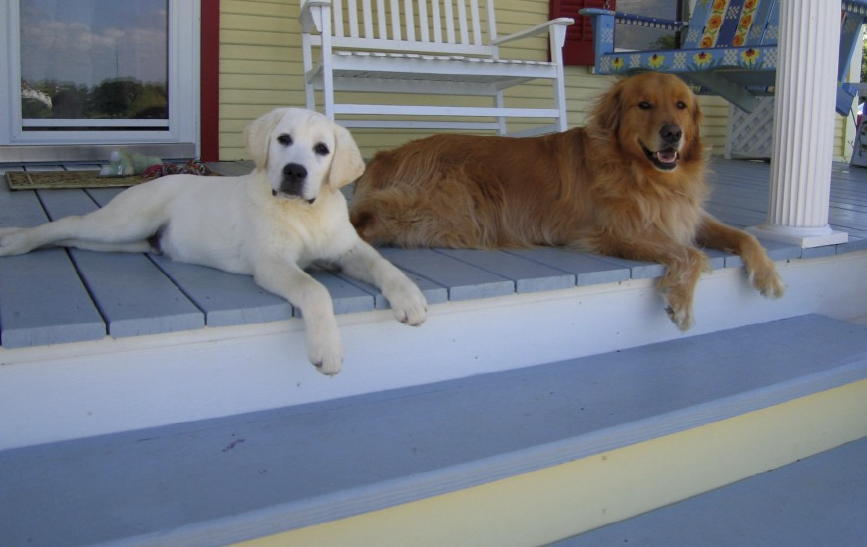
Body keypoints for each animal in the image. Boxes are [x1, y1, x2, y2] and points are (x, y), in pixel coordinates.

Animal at [0, 108, 427, 375]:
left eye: (322, 150)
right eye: (284, 139)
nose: (294, 171)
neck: (304, 212)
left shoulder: (346, 249)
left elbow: (384, 265)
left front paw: (410, 299)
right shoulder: (272, 263)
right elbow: (314, 290)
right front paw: (327, 349)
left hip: (126, 241)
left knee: (76, 237)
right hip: (124, 223)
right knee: (67, 224)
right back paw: (15, 240)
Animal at [350, 72, 783, 330]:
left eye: (681, 105)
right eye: (644, 105)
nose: (673, 133)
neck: (642, 173)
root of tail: (390, 153)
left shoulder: (687, 216)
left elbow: (745, 236)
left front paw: (769, 276)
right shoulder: (615, 231)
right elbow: (691, 254)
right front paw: (682, 302)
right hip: (447, 208)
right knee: (365, 218)